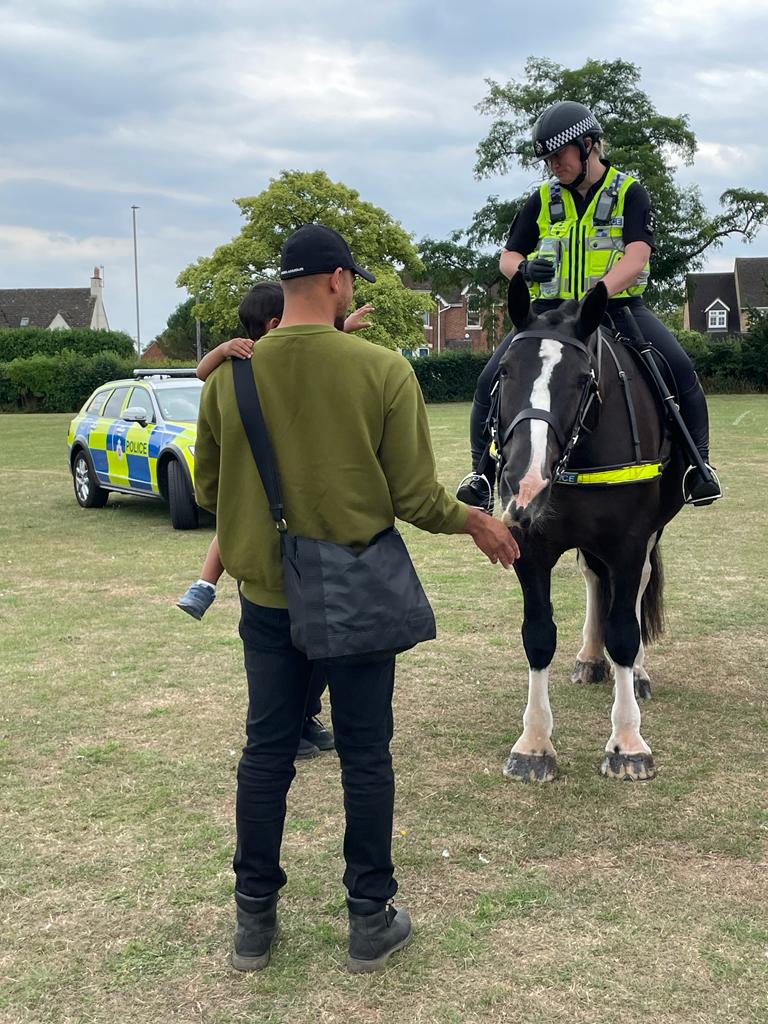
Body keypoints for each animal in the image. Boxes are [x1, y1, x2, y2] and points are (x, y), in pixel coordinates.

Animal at [495, 275, 685, 783]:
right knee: (594, 580)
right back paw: (589, 658)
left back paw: (636, 675)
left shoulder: (629, 542)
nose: (526, 481)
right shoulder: (528, 544)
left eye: (583, 380)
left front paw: (628, 744)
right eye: (505, 371)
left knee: (634, 593)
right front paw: (534, 745)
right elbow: (538, 635)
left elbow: (624, 631)